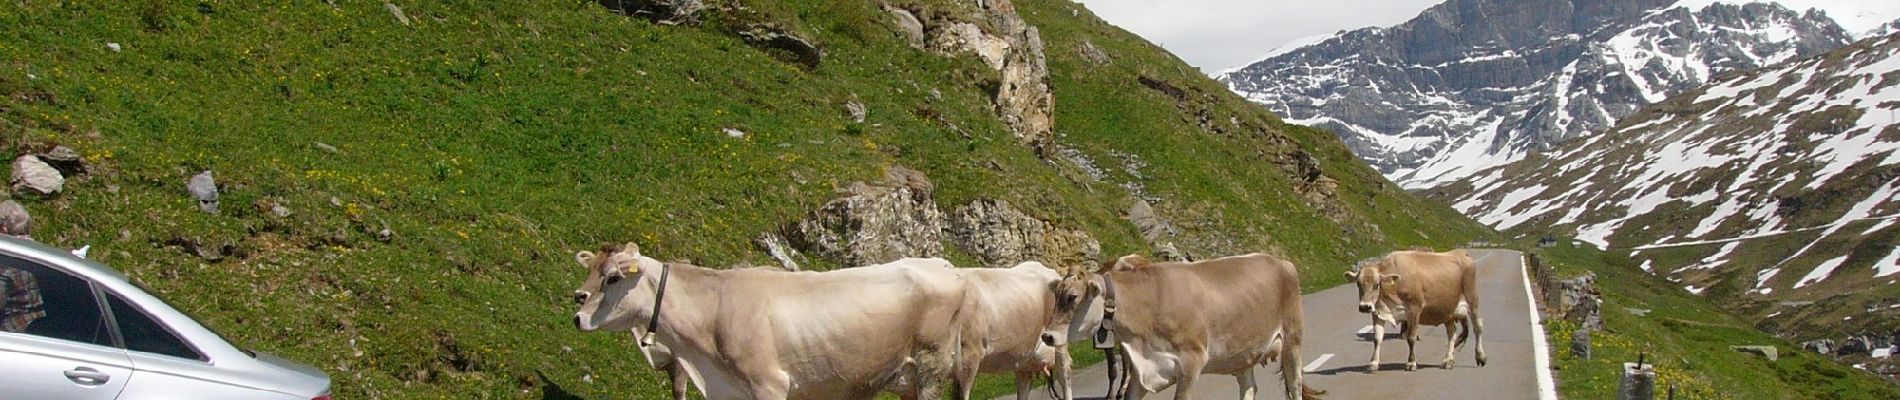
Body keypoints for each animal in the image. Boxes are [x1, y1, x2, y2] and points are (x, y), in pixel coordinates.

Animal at [1345, 250, 1489, 371]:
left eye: (1376, 284)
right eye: (1358, 284)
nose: (1365, 306)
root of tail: (1461, 253)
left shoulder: (1414, 309)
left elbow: (1411, 337)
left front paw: (1411, 362)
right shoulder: (1378, 313)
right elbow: (1377, 338)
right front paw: (1374, 363)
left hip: (1472, 300)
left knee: (1478, 327)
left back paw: (1480, 356)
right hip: (1447, 311)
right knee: (1451, 333)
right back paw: (1448, 360)